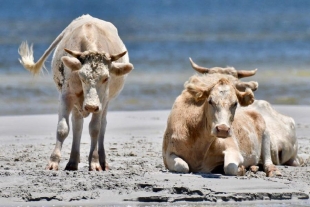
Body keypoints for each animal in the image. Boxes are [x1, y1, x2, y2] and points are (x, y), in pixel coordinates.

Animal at [17, 14, 133, 170]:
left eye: (106, 78)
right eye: (81, 76)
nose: (91, 106)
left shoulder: (102, 101)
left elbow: (95, 129)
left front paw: (94, 162)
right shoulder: (67, 96)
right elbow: (63, 128)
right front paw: (53, 162)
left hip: (105, 103)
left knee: (102, 125)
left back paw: (102, 161)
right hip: (77, 103)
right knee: (77, 124)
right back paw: (72, 161)